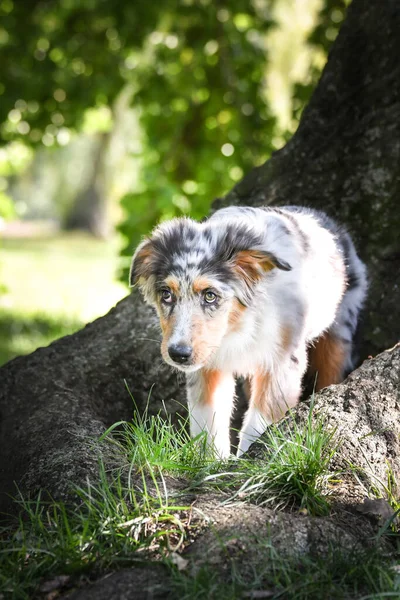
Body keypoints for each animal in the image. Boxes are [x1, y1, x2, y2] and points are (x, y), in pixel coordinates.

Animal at [130, 204, 368, 458]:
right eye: (166, 294)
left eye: (210, 295)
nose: (178, 354)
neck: (238, 325)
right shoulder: (208, 365)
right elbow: (207, 422)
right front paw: (214, 463)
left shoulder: (282, 360)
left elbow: (260, 420)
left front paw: (249, 458)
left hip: (339, 326)